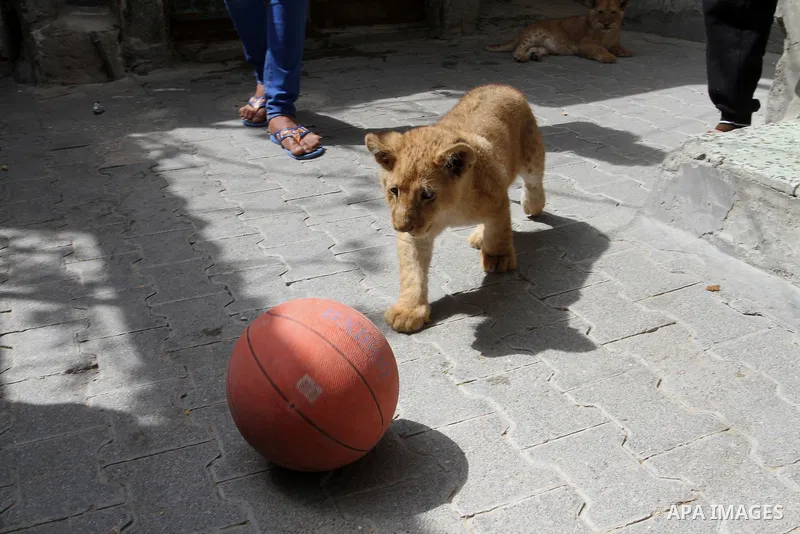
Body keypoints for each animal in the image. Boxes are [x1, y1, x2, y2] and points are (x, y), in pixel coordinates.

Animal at [364, 84, 546, 334]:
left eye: (427, 194)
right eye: (394, 190)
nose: (400, 226)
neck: (450, 210)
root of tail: (500, 85)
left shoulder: (497, 200)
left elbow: (498, 231)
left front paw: (498, 258)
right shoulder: (417, 234)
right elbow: (412, 271)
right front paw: (409, 310)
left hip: (531, 156)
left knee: (534, 182)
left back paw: (533, 205)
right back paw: (479, 235)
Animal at [485, 0, 632, 64]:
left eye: (613, 12)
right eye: (600, 12)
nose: (606, 23)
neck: (607, 34)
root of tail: (521, 33)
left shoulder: (613, 42)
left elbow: (617, 47)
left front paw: (624, 51)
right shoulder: (584, 45)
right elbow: (599, 49)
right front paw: (608, 57)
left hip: (547, 47)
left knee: (534, 48)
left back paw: (535, 56)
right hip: (535, 33)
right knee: (518, 48)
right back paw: (521, 57)